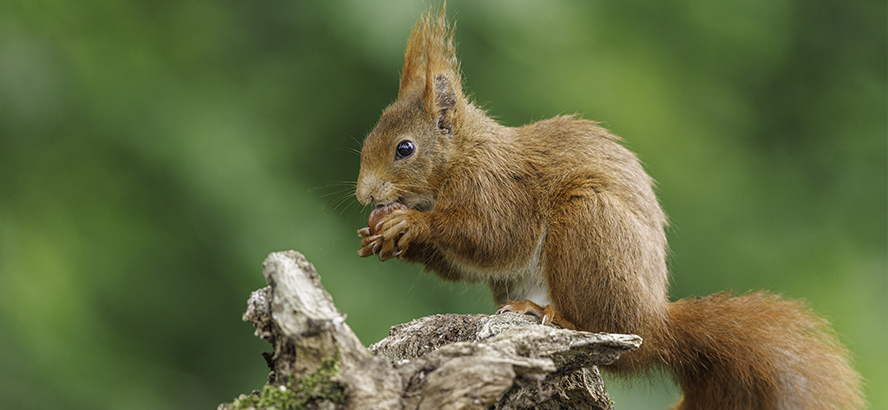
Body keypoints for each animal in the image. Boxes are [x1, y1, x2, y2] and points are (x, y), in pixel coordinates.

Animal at [352, 6, 860, 410]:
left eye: (404, 148)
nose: (364, 196)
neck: (462, 156)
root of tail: (654, 324)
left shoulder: (496, 188)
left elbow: (493, 237)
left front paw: (412, 223)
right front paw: (386, 237)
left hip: (588, 223)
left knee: (597, 322)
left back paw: (553, 315)